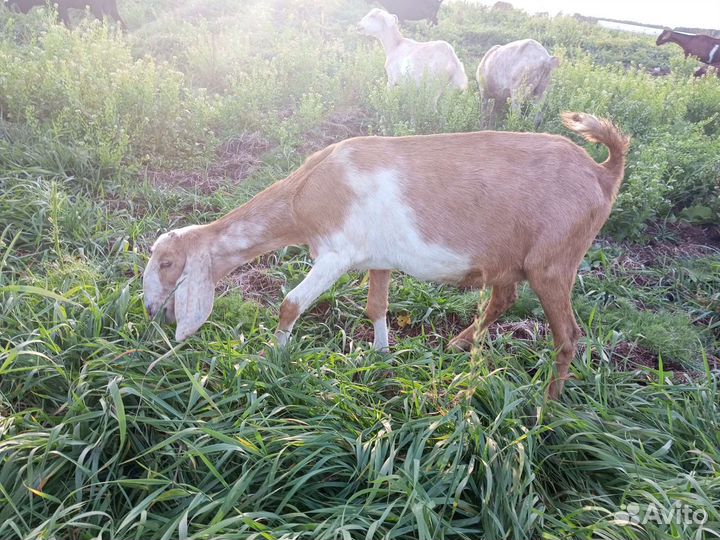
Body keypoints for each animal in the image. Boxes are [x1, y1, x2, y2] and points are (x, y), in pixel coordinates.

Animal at [143, 112, 629, 400]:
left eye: (167, 263)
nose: (149, 309)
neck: (310, 191)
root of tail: (603, 172)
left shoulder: (335, 255)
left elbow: (290, 304)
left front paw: (269, 359)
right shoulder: (377, 258)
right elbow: (377, 306)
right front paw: (380, 357)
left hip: (553, 264)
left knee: (567, 335)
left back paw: (545, 407)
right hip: (510, 261)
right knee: (503, 300)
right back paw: (458, 345)